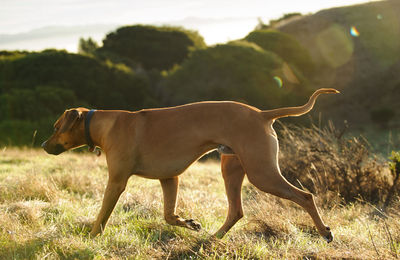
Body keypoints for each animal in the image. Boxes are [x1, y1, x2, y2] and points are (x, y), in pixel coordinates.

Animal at [43, 88, 338, 242]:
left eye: (56, 127)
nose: (44, 145)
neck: (105, 124)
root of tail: (263, 114)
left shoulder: (116, 182)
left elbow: (102, 214)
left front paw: (92, 237)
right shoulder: (168, 178)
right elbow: (168, 215)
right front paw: (189, 223)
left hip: (261, 173)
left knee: (306, 196)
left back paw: (324, 231)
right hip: (232, 169)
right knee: (236, 211)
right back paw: (213, 238)